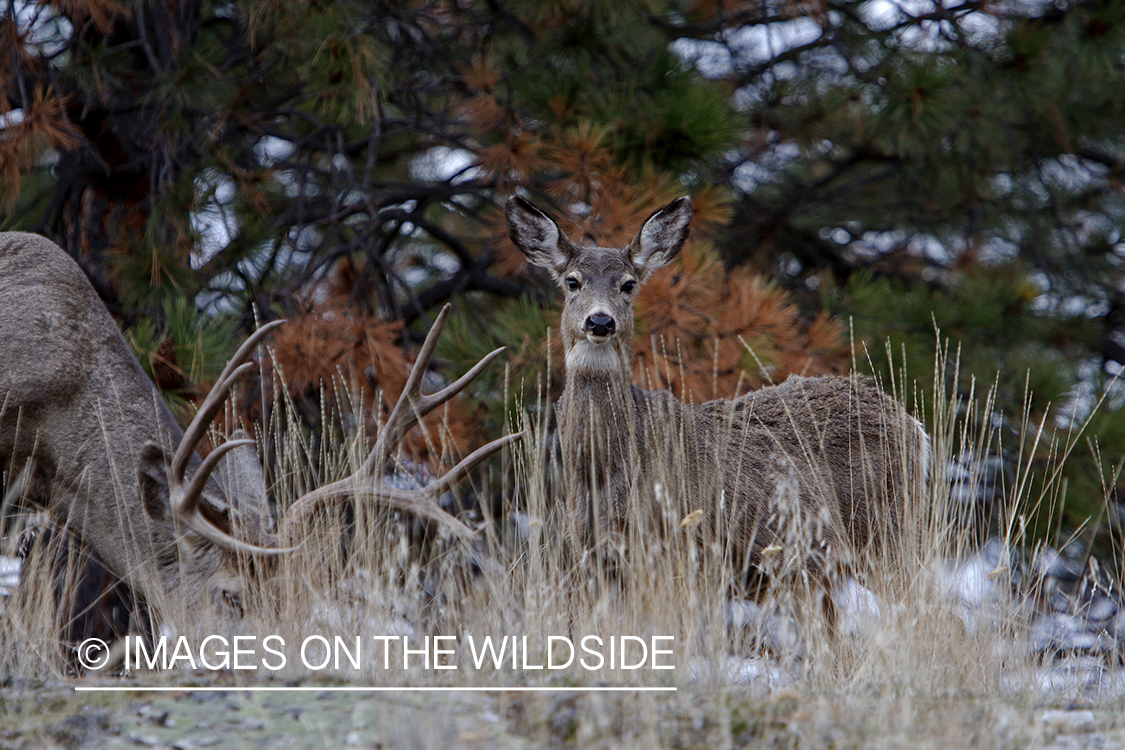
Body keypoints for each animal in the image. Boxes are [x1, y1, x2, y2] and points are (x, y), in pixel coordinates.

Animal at [506, 196, 927, 593]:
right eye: (572, 282)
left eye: (628, 284)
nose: (599, 321)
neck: (602, 469)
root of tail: (913, 425)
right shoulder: (593, 554)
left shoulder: (677, 547)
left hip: (889, 534)